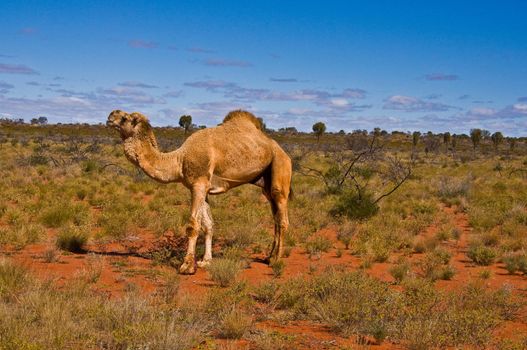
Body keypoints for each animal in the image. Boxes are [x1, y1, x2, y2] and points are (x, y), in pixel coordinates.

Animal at [106, 109, 292, 274]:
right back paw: (269, 256)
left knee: (282, 218)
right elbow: (208, 225)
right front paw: (205, 261)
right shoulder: (201, 188)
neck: (179, 160)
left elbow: (193, 225)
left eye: (125, 118)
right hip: (265, 182)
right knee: (275, 217)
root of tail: (282, 150)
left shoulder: (199, 184)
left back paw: (276, 259)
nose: (110, 116)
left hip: (280, 166)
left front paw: (187, 266)